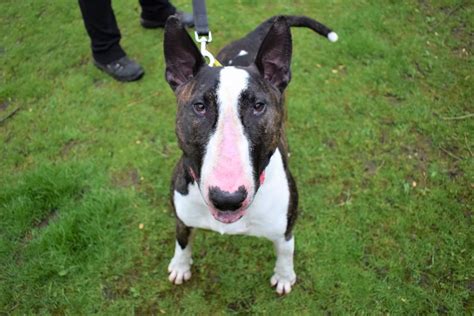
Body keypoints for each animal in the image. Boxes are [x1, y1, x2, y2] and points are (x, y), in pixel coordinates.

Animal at [163, 14, 336, 296]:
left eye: (258, 106)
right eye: (199, 106)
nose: (227, 199)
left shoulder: (285, 229)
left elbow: (285, 253)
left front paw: (284, 276)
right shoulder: (182, 216)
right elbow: (182, 241)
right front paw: (180, 265)